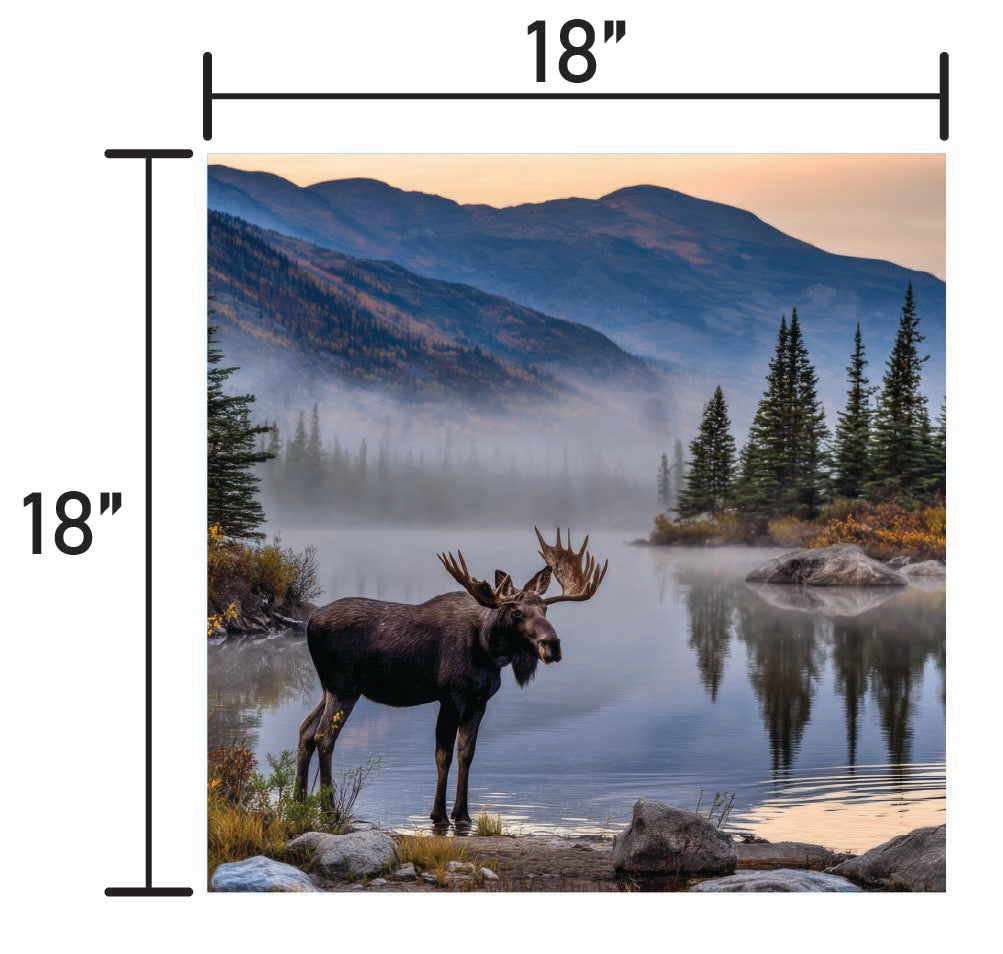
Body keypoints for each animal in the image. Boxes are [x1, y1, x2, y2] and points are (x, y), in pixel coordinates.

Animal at [294, 528, 608, 827]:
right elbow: (442, 755)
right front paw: (439, 815)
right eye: (517, 612)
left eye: (545, 608)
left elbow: (466, 753)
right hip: (344, 687)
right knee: (324, 736)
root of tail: (310, 623)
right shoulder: (451, 696)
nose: (552, 645)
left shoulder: (479, 700)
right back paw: (329, 812)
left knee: (306, 729)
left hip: (330, 688)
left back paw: (298, 802)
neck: (488, 648)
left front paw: (463, 814)